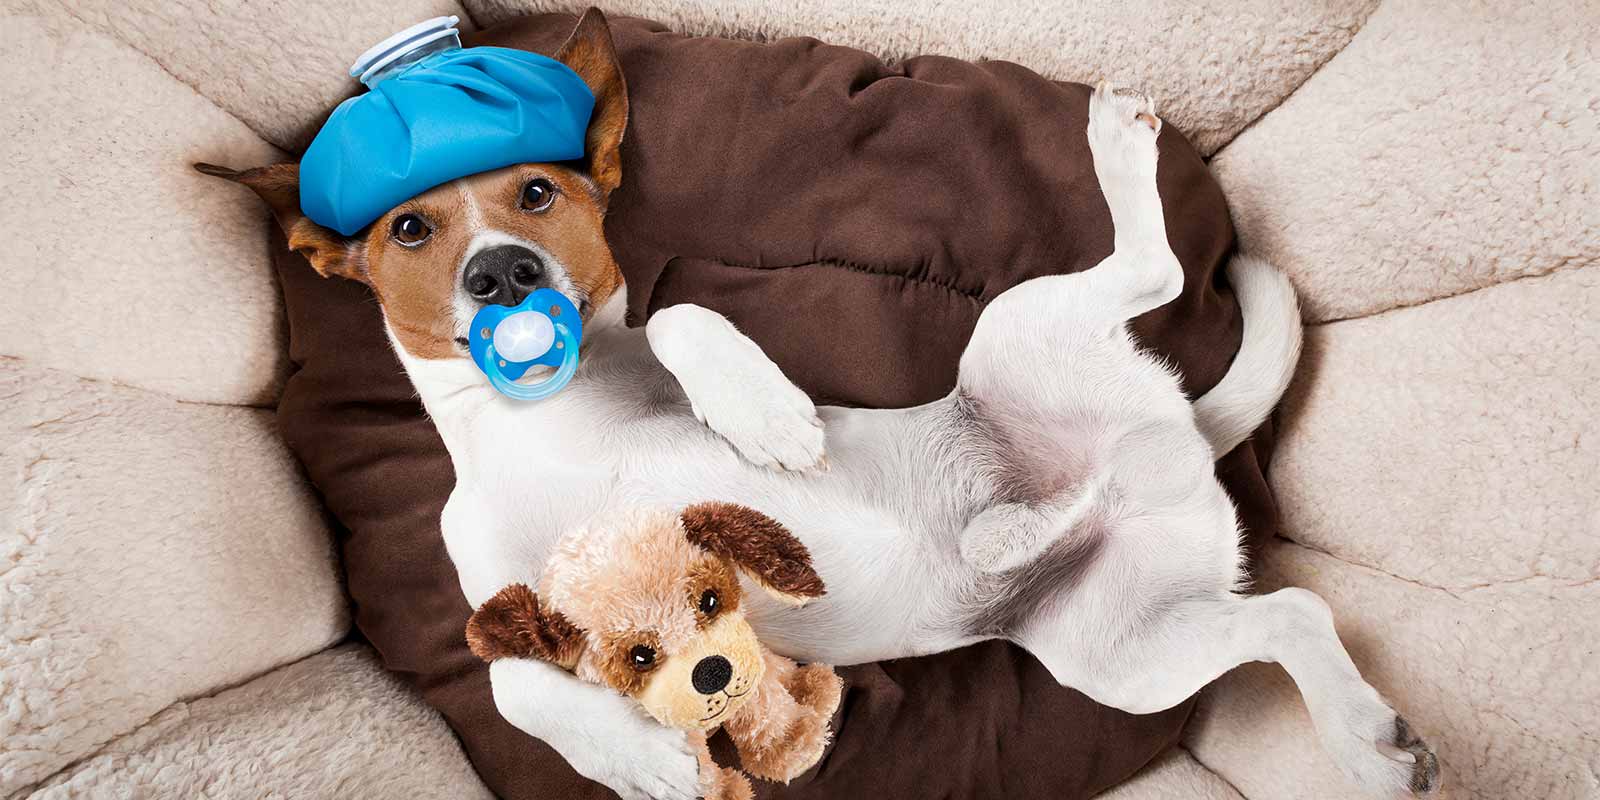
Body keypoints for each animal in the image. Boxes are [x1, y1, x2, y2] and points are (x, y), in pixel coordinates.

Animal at [464, 502, 844, 796]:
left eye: (709, 600)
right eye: (641, 657)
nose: (712, 671)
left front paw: (791, 745)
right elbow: (508, 682)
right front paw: (650, 765)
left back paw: (817, 688)